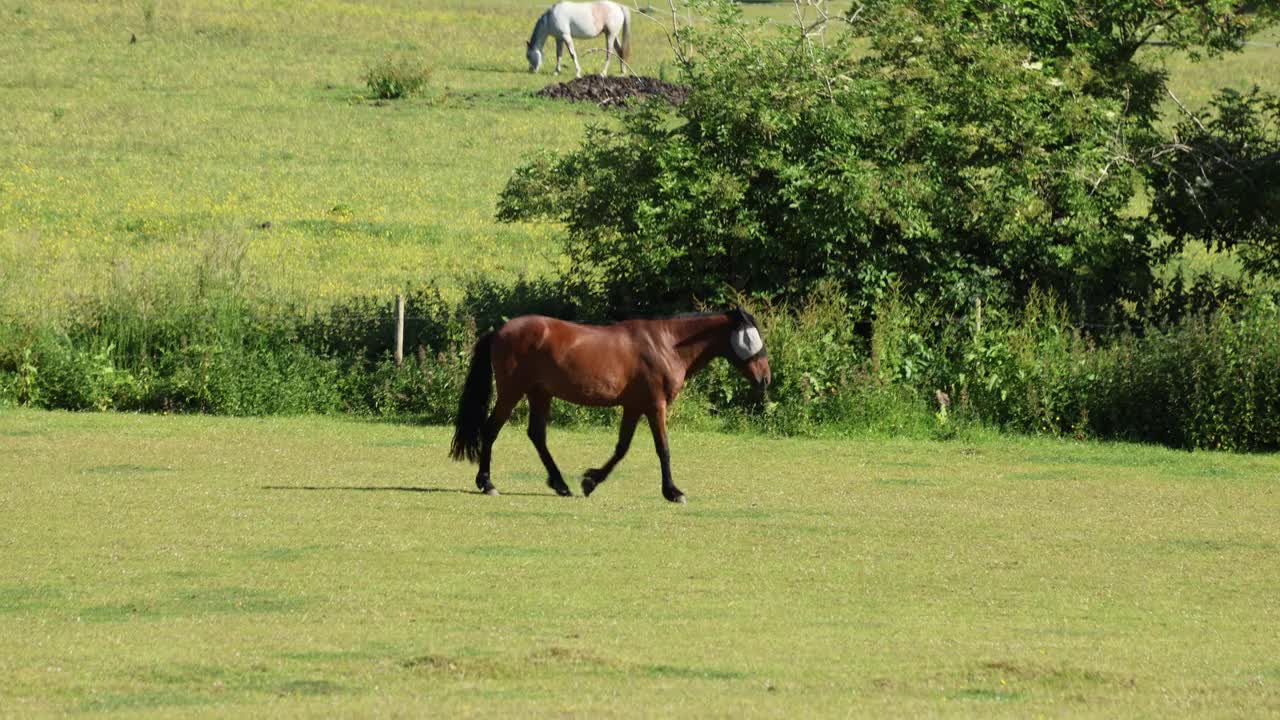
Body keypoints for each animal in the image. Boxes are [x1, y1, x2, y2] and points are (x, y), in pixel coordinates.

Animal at [450, 307, 768, 499]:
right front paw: (672, 491)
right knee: (491, 430)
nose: (765, 379)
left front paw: (591, 481)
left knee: (537, 435)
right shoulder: (655, 405)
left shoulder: (634, 407)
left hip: (540, 394)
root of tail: (499, 332)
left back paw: (560, 484)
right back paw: (487, 483)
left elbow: (622, 448)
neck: (666, 345)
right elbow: (663, 449)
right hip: (512, 392)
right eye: (753, 340)